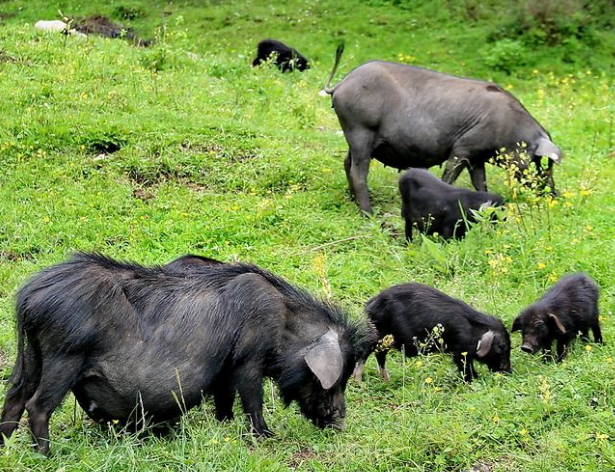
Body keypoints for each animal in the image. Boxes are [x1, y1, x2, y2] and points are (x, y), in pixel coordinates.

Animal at [0, 253, 370, 456]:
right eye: (335, 379)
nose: (340, 423)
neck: (285, 322)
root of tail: (30, 295)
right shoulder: (247, 357)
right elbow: (252, 397)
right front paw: (267, 436)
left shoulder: (224, 367)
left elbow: (224, 397)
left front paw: (223, 424)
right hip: (64, 355)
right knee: (36, 406)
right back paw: (47, 456)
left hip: (31, 355)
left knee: (14, 398)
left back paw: (7, 448)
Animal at [322, 44, 564, 214]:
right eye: (540, 162)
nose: (555, 195)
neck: (510, 130)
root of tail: (341, 84)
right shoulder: (463, 148)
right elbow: (450, 175)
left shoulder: (477, 157)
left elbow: (480, 182)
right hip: (360, 129)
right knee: (358, 172)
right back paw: (369, 214)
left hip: (355, 136)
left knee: (347, 162)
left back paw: (353, 201)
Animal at [354, 282, 512, 382]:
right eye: (501, 346)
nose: (508, 370)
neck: (472, 329)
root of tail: (370, 305)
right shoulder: (459, 351)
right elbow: (465, 367)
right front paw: (472, 380)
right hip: (380, 335)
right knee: (368, 352)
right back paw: (359, 381)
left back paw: (386, 380)